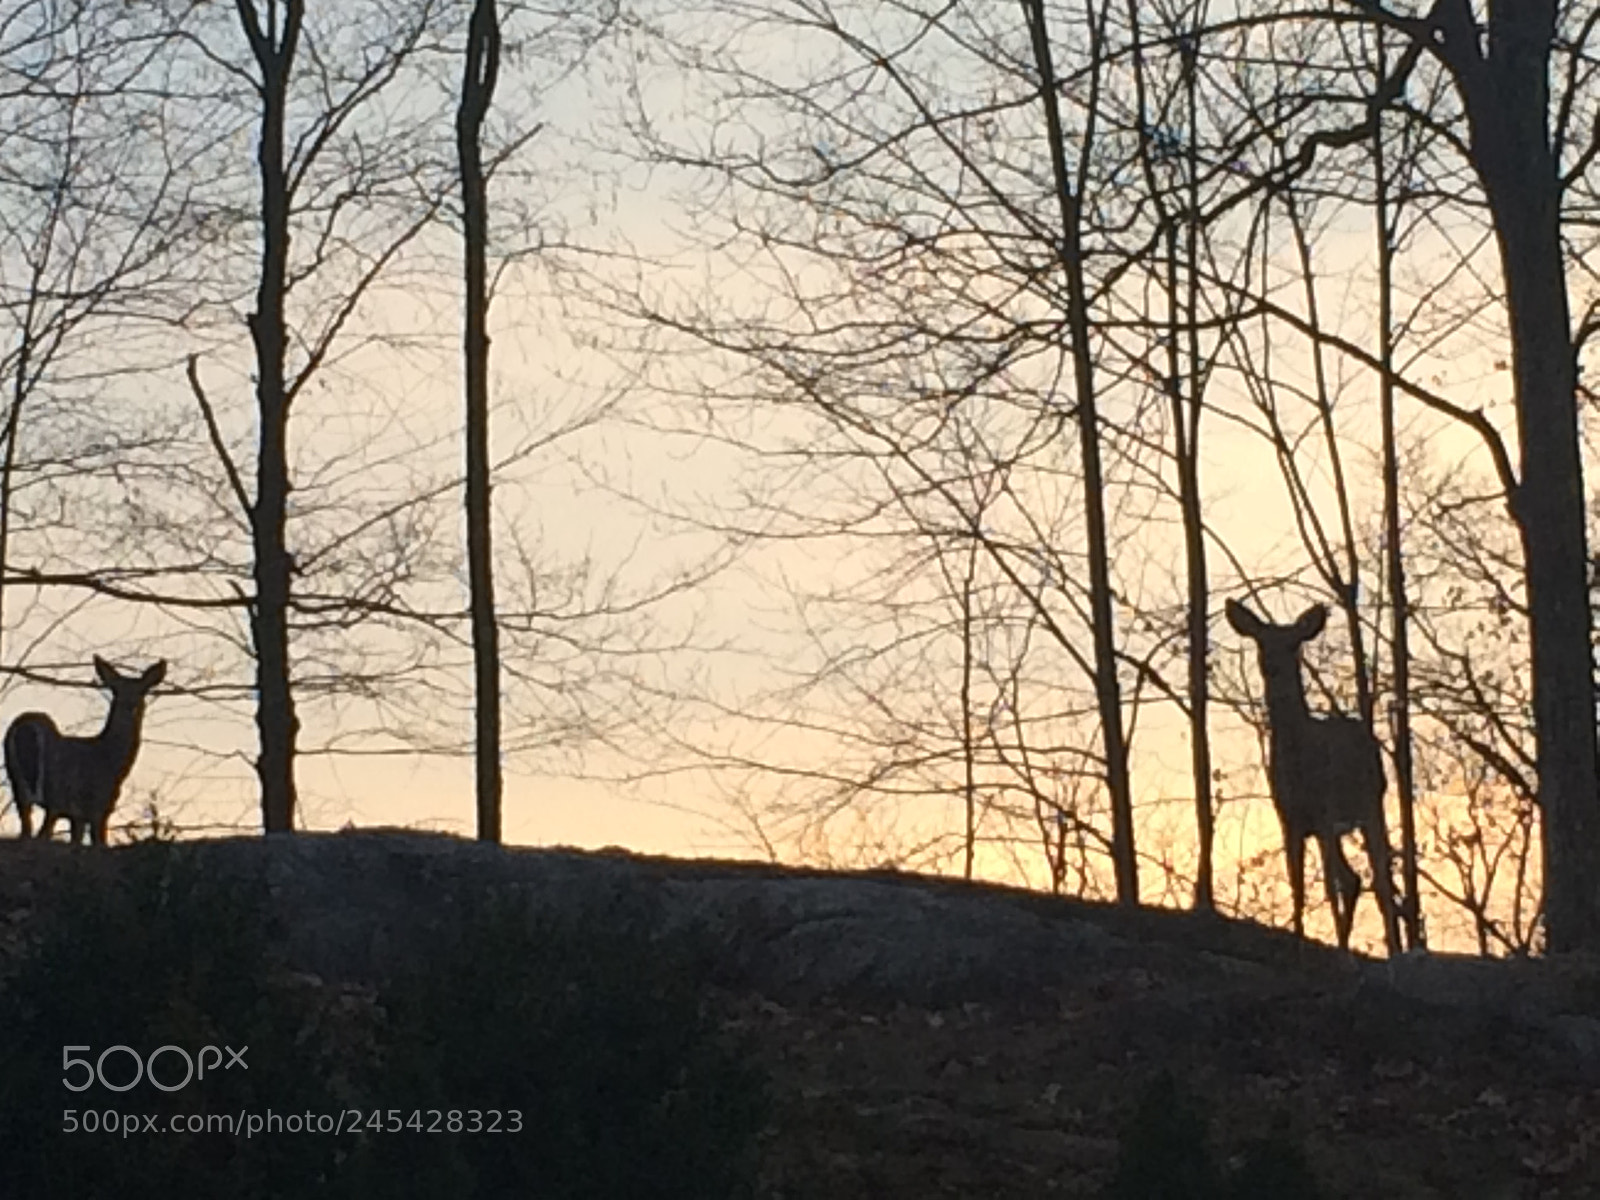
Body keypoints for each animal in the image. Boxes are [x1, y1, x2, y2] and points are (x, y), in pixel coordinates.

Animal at [4, 656, 166, 846]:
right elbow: (99, 842)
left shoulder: (78, 815)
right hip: (56, 795)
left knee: (26, 830)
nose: (130, 705)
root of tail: (27, 728)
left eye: (142, 690)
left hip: (19, 789)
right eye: (116, 690)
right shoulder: (98, 808)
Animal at [1225, 599, 1402, 956]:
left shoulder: (1322, 812)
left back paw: (1387, 950)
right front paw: (1298, 938)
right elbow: (1297, 884)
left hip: (1369, 805)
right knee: (1355, 878)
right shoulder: (1288, 818)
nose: (1272, 666)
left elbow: (1330, 886)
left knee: (1376, 880)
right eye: (1261, 642)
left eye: (1293, 644)